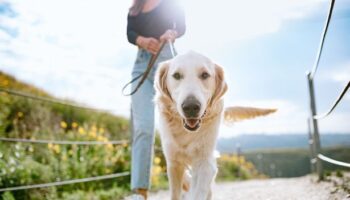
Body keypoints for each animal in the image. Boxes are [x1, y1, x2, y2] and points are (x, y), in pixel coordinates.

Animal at [153, 51, 276, 200]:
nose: (191, 107)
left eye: (205, 75)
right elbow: (176, 193)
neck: (188, 132)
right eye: (176, 75)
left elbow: (199, 191)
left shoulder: (205, 162)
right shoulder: (174, 162)